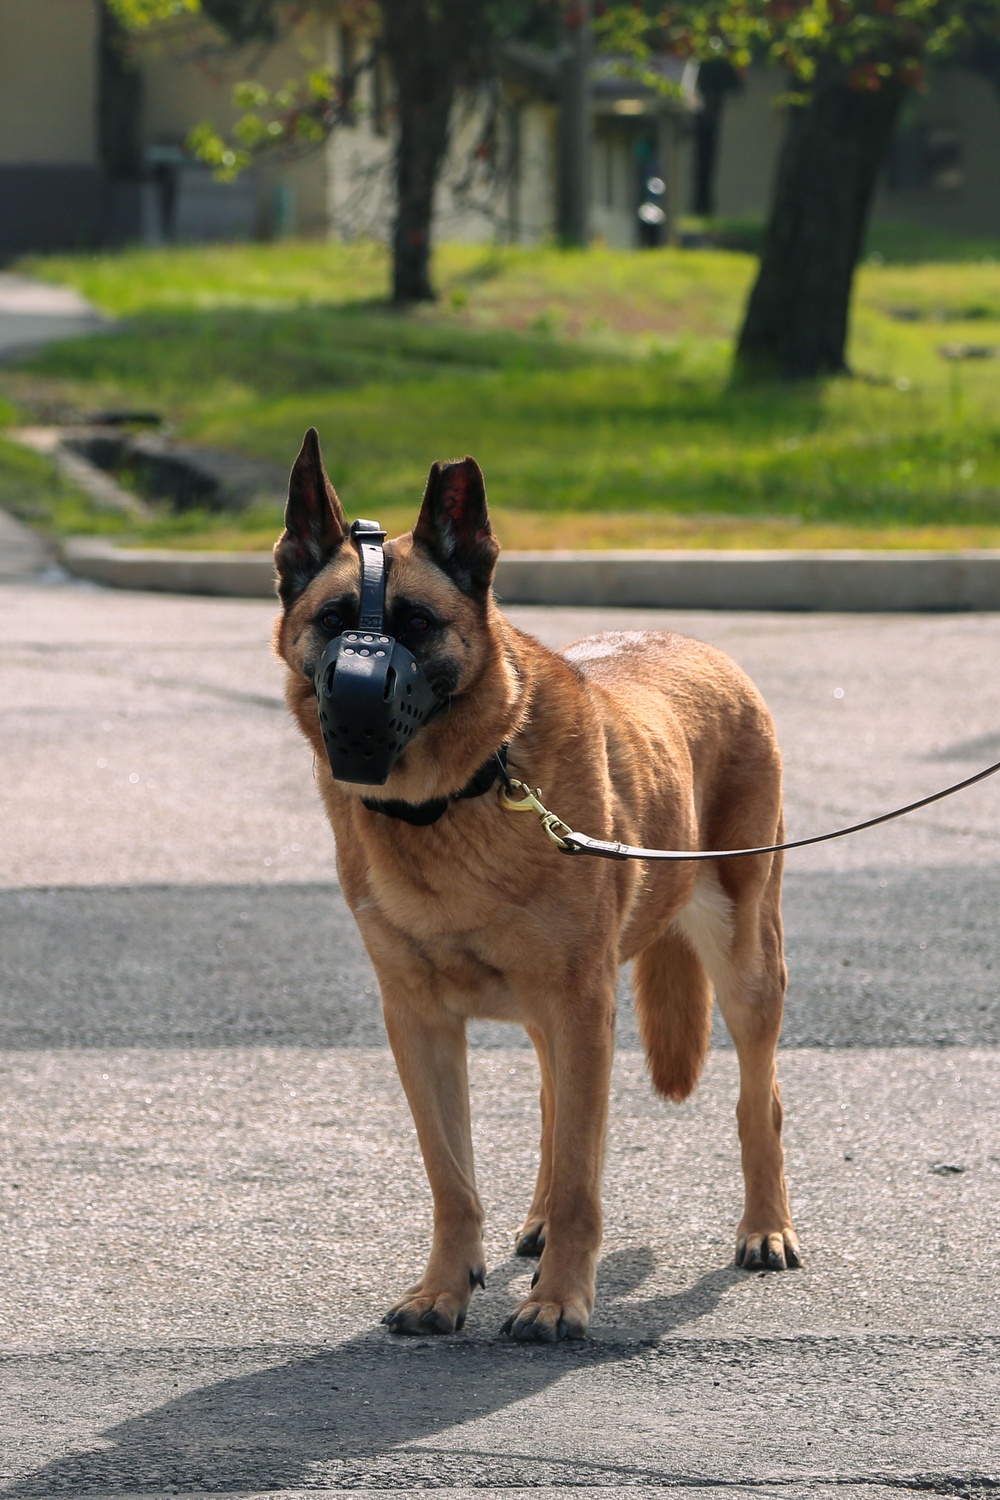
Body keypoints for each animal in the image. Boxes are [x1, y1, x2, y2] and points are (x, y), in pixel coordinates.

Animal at [269, 429, 803, 1344]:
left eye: (417, 625)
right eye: (334, 620)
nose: (357, 705)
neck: (461, 794)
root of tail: (702, 645)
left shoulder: (583, 1007)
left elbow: (587, 1178)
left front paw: (559, 1299)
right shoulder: (420, 1025)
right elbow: (454, 1178)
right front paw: (445, 1289)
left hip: (743, 965)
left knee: (755, 1100)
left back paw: (764, 1228)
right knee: (558, 1109)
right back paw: (541, 1222)